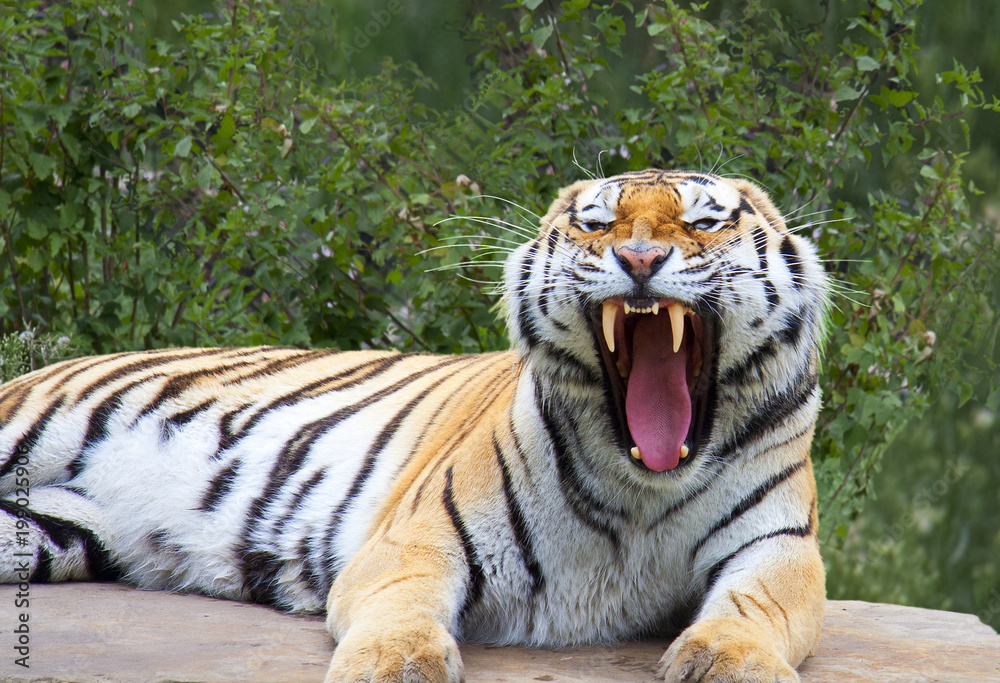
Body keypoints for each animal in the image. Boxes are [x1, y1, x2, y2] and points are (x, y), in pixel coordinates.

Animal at [0, 169, 828, 682]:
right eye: (596, 223)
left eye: (702, 221)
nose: (640, 255)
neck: (642, 484)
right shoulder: (415, 536)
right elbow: (402, 602)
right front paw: (396, 665)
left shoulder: (779, 546)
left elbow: (757, 605)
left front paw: (731, 660)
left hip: (57, 530)